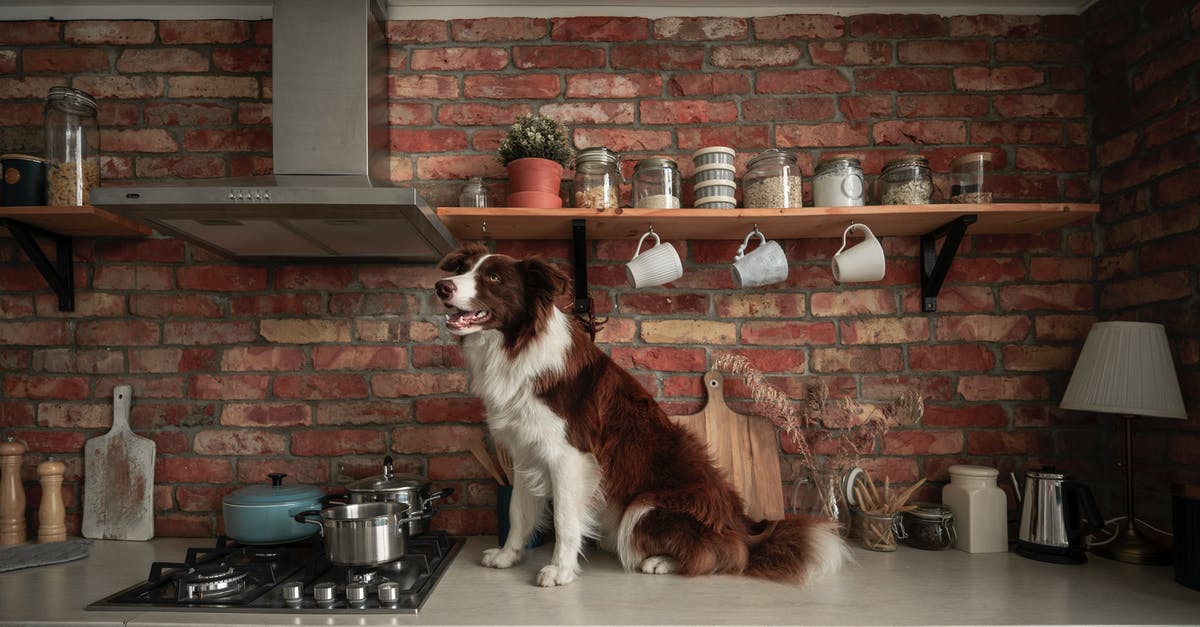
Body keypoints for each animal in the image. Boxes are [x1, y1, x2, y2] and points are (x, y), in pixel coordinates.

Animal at [434, 241, 844, 583]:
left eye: (493, 277)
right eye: (463, 268)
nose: (441, 286)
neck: (514, 346)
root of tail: (742, 528)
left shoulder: (570, 456)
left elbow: (566, 520)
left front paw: (560, 571)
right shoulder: (524, 452)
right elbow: (518, 512)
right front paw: (508, 556)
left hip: (644, 507)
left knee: (724, 555)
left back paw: (661, 561)